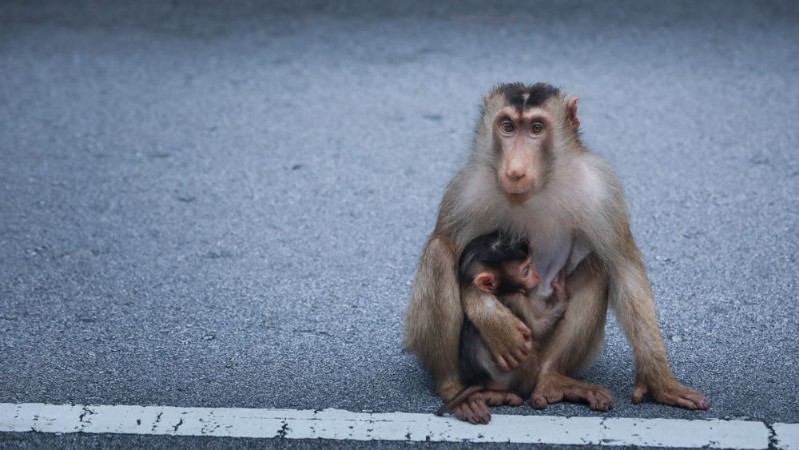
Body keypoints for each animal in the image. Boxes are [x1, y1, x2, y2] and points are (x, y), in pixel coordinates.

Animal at [434, 230, 570, 423]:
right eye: (526, 271)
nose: (537, 274)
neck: (498, 291)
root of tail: (481, 380)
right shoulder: (515, 297)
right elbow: (537, 329)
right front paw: (561, 296)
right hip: (512, 373)